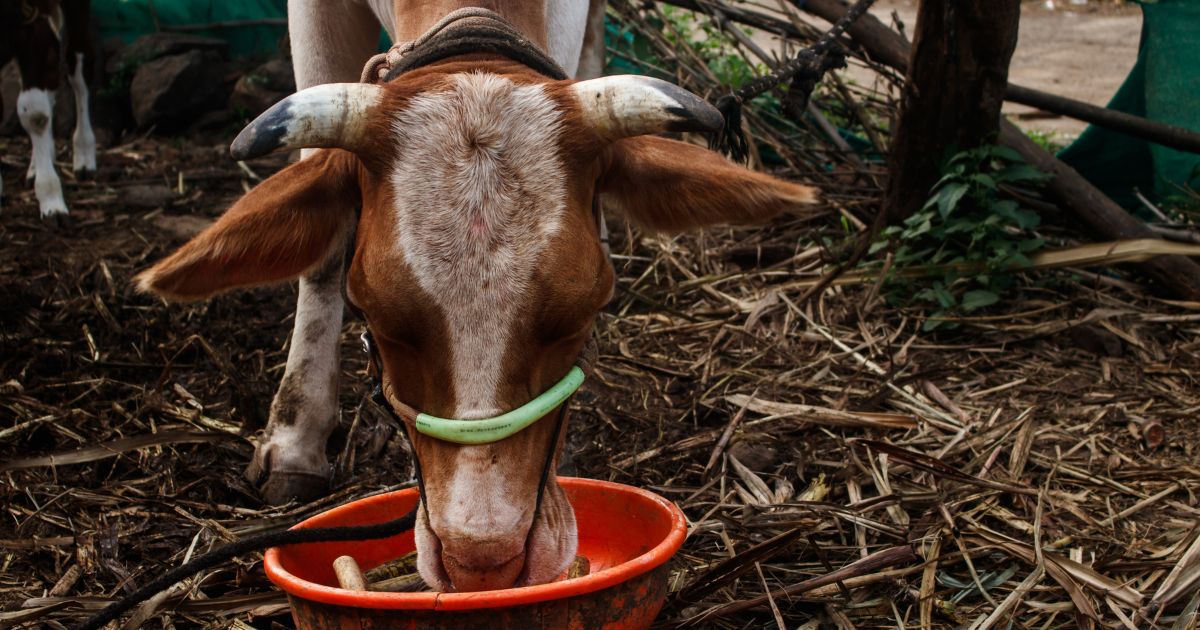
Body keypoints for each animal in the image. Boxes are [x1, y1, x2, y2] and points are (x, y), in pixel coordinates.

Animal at [0, 0, 96, 218]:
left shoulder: (32, 28)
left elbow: (35, 114)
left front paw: (52, 202)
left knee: (79, 71)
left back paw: (84, 156)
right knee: (51, 79)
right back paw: (37, 164)